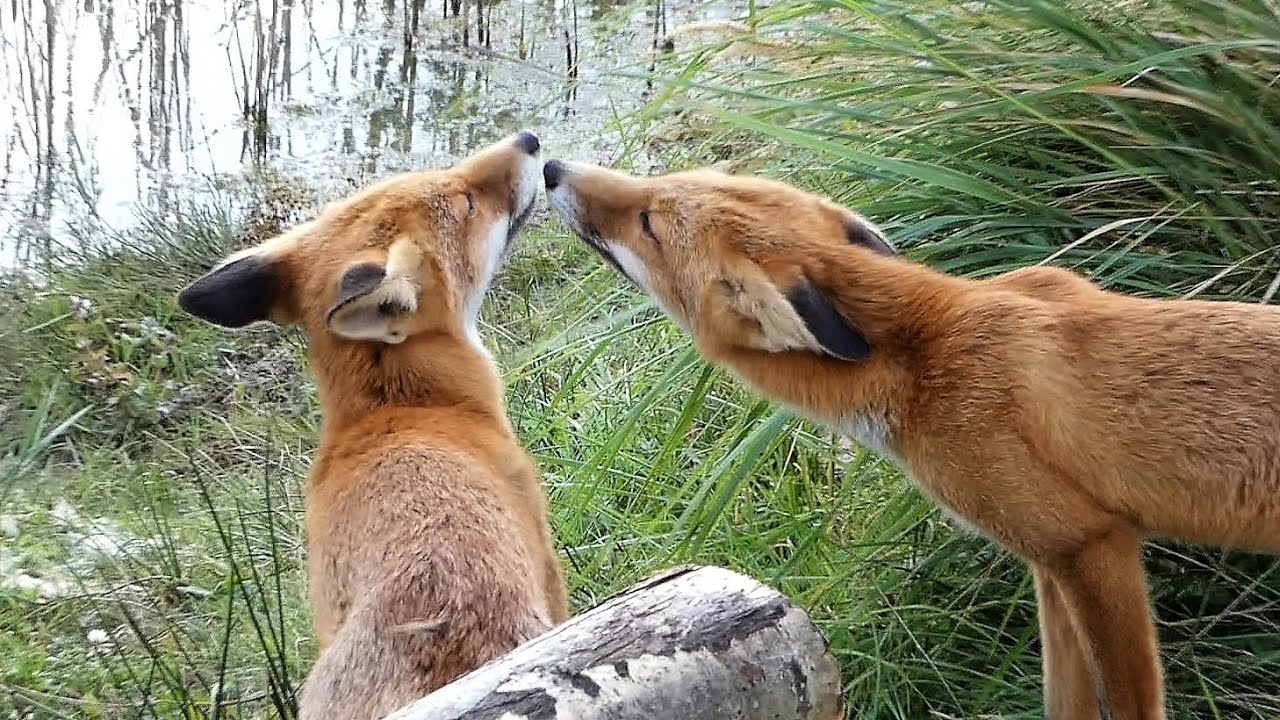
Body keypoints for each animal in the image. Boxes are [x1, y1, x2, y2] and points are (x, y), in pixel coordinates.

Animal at [541, 158, 1280, 720]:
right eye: (668, 177)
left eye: (648, 222)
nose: (551, 167)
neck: (932, 349)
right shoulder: (1050, 562)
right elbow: (1064, 702)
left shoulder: (1089, 547)